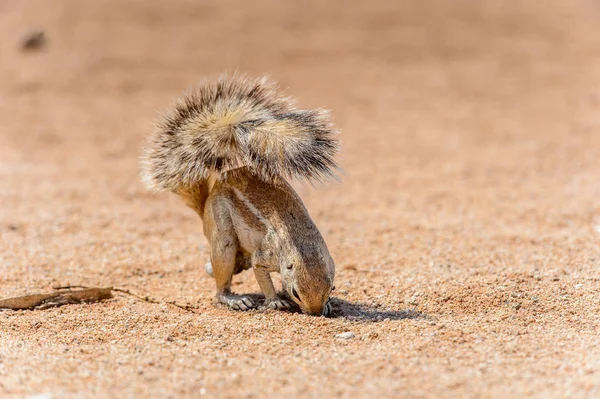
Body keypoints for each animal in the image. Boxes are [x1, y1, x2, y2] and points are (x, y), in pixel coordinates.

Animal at [138, 72, 340, 316]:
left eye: (331, 288)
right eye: (296, 292)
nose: (315, 313)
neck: (302, 242)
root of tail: (207, 201)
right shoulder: (264, 256)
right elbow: (262, 274)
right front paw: (275, 300)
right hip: (222, 236)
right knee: (220, 287)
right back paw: (236, 300)